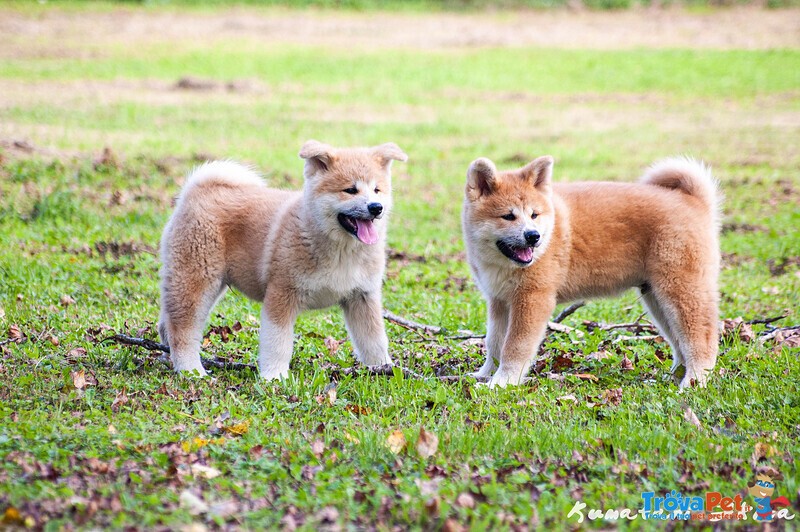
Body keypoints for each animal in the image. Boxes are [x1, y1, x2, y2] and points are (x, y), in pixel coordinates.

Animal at [158, 141, 406, 380]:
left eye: (377, 190)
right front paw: (274, 376)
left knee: (168, 321)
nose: (376, 207)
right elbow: (278, 343)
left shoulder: (362, 297)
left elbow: (374, 340)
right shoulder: (282, 293)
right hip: (197, 280)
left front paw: (384, 369)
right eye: (350, 190)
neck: (341, 251)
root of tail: (197, 190)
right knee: (183, 328)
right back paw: (191, 370)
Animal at [460, 156, 720, 388]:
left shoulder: (532, 300)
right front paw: (485, 374)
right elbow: (494, 342)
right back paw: (673, 377)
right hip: (657, 298)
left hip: (680, 291)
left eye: (534, 214)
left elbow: (514, 347)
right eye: (508, 216)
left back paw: (694, 381)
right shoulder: (499, 301)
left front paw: (503, 382)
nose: (534, 236)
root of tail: (692, 201)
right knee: (679, 342)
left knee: (701, 339)